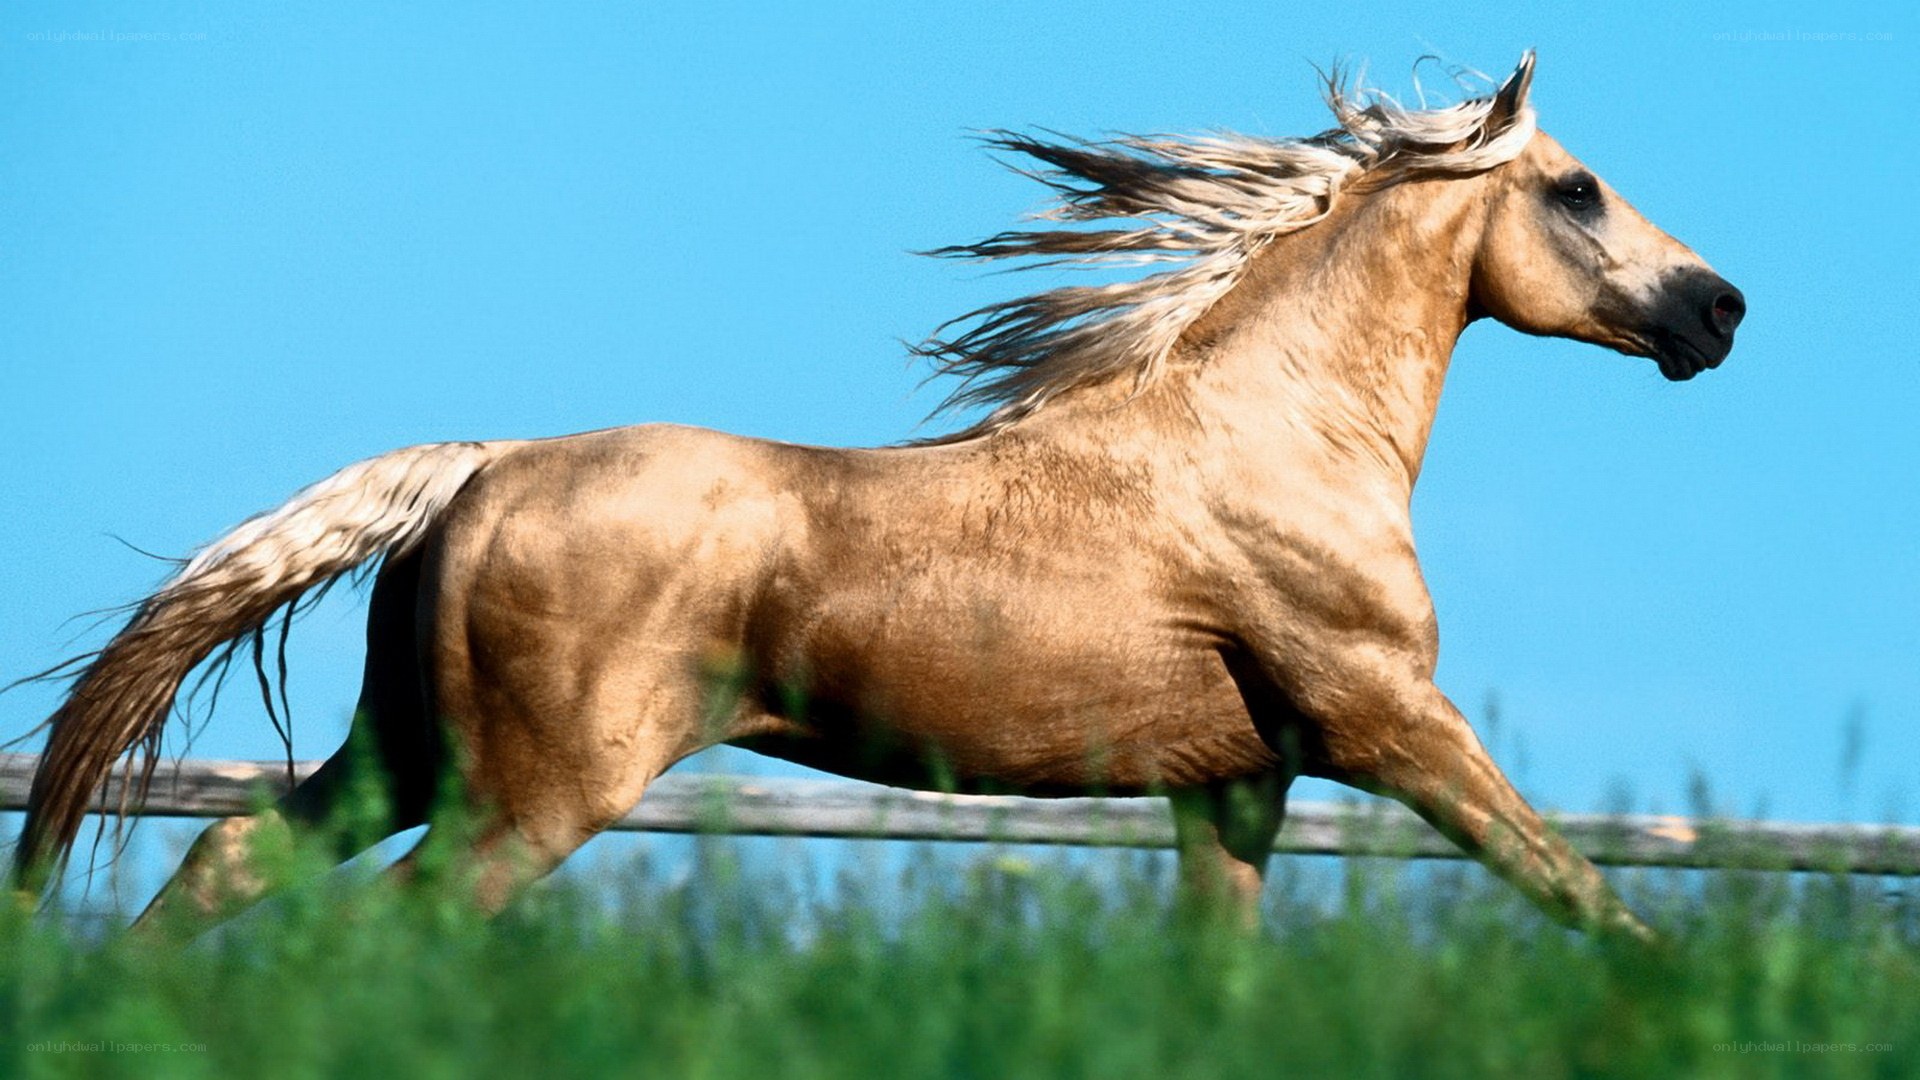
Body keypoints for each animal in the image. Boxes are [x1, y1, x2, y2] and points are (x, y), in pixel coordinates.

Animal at [12, 53, 1743, 939]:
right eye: (1578, 190)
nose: (1719, 310)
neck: (1266, 441)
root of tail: (481, 464)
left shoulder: (1236, 787)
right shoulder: (1391, 727)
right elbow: (1591, 900)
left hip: (406, 755)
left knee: (226, 863)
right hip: (536, 793)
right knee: (391, 927)